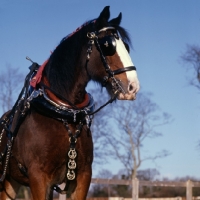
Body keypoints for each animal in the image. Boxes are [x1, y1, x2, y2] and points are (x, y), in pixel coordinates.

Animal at [0, 6, 139, 200]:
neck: (64, 115)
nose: (133, 86)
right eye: (108, 45)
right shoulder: (38, 177)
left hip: (12, 182)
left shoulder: (82, 176)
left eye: (126, 47)